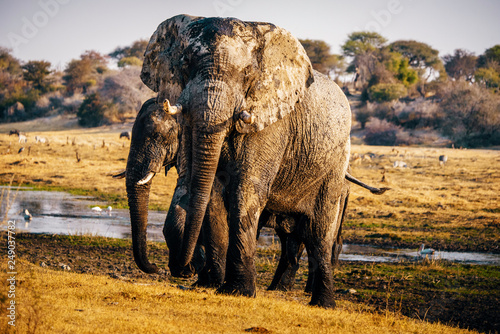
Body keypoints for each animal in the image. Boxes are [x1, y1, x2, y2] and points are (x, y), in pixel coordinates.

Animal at [141, 15, 354, 308]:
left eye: (246, 75)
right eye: (185, 65)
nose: (183, 270)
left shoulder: (271, 123)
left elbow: (246, 190)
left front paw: (238, 291)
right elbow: (210, 193)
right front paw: (215, 286)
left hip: (337, 162)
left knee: (320, 232)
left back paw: (323, 304)